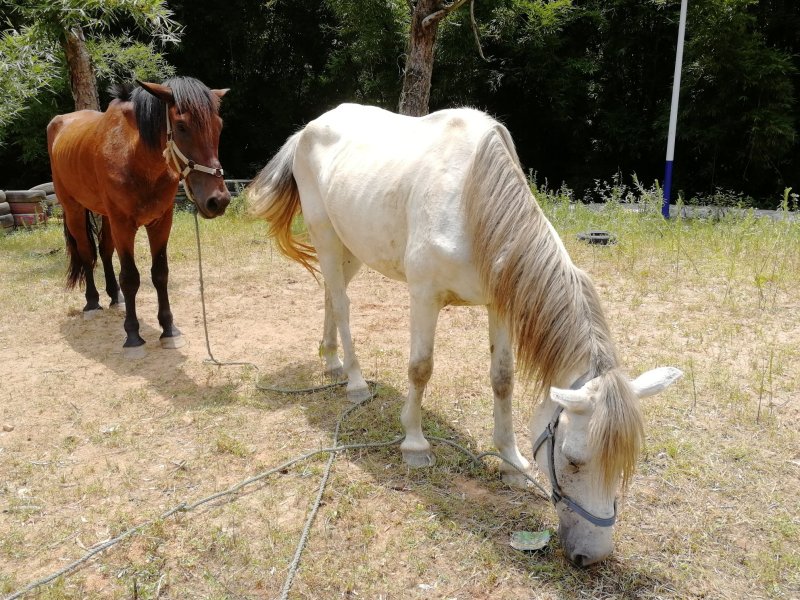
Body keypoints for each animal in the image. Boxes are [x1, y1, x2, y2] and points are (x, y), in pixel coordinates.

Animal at [47, 77, 231, 358]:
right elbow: (131, 277)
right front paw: (133, 336)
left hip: (106, 216)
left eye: (218, 126)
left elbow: (160, 273)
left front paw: (169, 330)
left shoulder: (161, 222)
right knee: (87, 253)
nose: (217, 200)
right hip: (74, 210)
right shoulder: (124, 225)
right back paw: (92, 303)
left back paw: (115, 298)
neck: (136, 158)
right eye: (181, 126)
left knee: (104, 252)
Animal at [246, 103, 682, 566]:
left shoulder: (500, 305)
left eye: (624, 465)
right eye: (573, 459)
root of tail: (309, 129)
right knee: (343, 306)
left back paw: (331, 362)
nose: (591, 557)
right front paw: (415, 445)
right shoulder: (424, 296)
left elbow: (503, 379)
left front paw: (511, 462)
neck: (471, 197)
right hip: (326, 236)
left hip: (352, 247)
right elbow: (420, 369)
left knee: (332, 293)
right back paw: (355, 382)